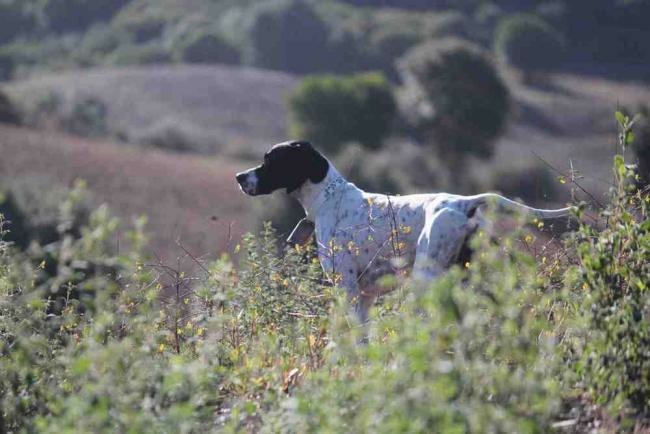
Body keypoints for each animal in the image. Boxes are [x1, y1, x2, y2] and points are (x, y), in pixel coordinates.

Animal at [235, 142, 568, 322]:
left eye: (270, 161)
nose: (239, 177)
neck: (329, 198)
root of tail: (463, 204)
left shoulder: (348, 288)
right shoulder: (366, 296)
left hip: (426, 277)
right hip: (475, 277)